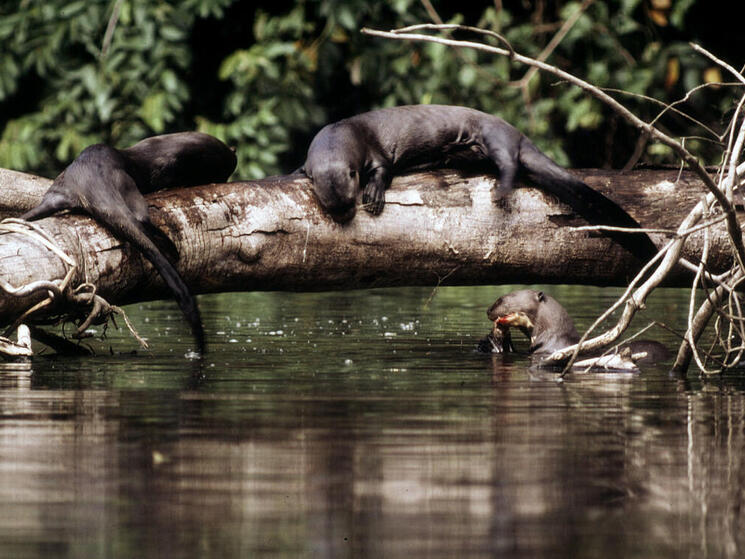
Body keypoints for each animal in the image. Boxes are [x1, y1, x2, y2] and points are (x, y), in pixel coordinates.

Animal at [19, 132, 235, 354]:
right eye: (220, 174)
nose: (224, 179)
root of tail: (91, 181)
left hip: (58, 190)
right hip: (125, 182)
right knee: (141, 218)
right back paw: (171, 248)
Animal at [300, 104, 652, 262]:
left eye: (349, 201)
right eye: (330, 206)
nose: (346, 216)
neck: (345, 132)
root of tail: (518, 134)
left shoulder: (375, 151)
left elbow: (383, 170)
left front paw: (373, 194)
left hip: (492, 134)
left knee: (509, 162)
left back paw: (501, 190)